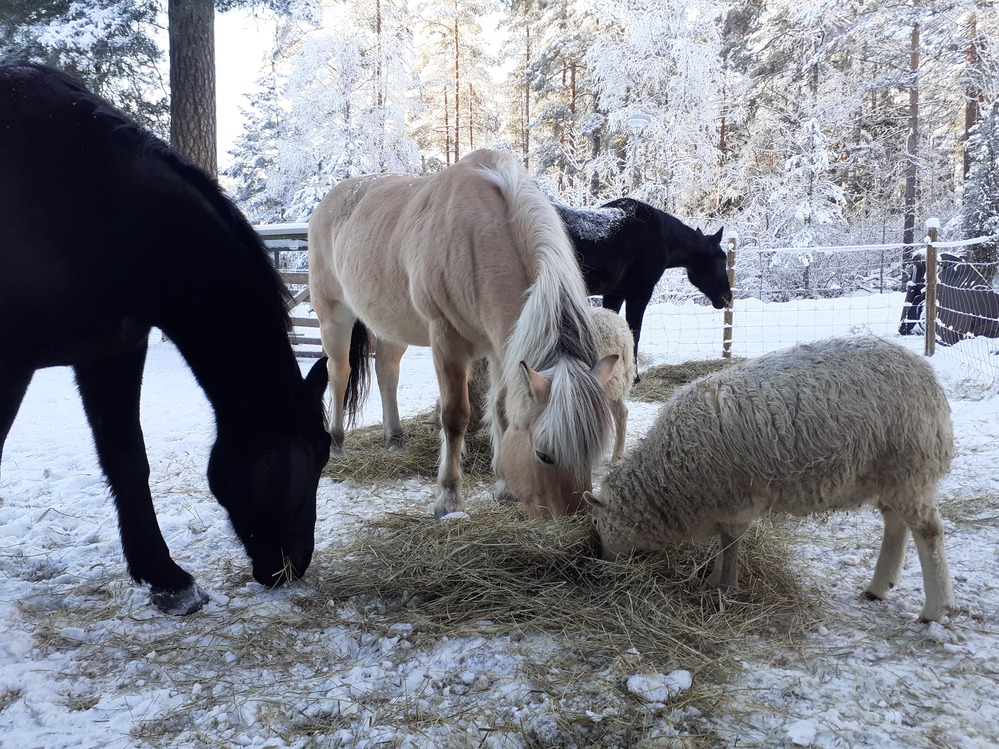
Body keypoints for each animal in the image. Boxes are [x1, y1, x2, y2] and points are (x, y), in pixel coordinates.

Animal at [0, 64, 332, 612]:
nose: (294, 566)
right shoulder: (12, 364)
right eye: (321, 451)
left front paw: (166, 577)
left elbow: (128, 459)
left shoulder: (112, 349)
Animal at [308, 149, 616, 516]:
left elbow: (501, 410)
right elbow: (455, 417)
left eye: (594, 451)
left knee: (387, 372)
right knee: (339, 373)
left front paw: (504, 488)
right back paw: (337, 442)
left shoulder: (501, 348)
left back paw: (394, 438)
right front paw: (448, 498)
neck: (480, 234)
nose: (574, 517)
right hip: (333, 315)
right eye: (544, 455)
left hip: (391, 327)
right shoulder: (446, 340)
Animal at [556, 199, 736, 376]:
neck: (662, 235)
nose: (727, 296)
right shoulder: (640, 292)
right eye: (722, 259)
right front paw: (634, 376)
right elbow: (634, 333)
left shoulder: (615, 293)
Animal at [588, 336, 956, 624]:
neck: (668, 477)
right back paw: (878, 587)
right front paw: (715, 579)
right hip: (892, 475)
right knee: (896, 523)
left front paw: (724, 588)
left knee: (929, 532)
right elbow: (725, 543)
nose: (601, 566)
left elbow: (731, 543)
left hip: (910, 467)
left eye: (600, 526)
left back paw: (933, 610)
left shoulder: (735, 502)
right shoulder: (723, 505)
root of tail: (927, 374)